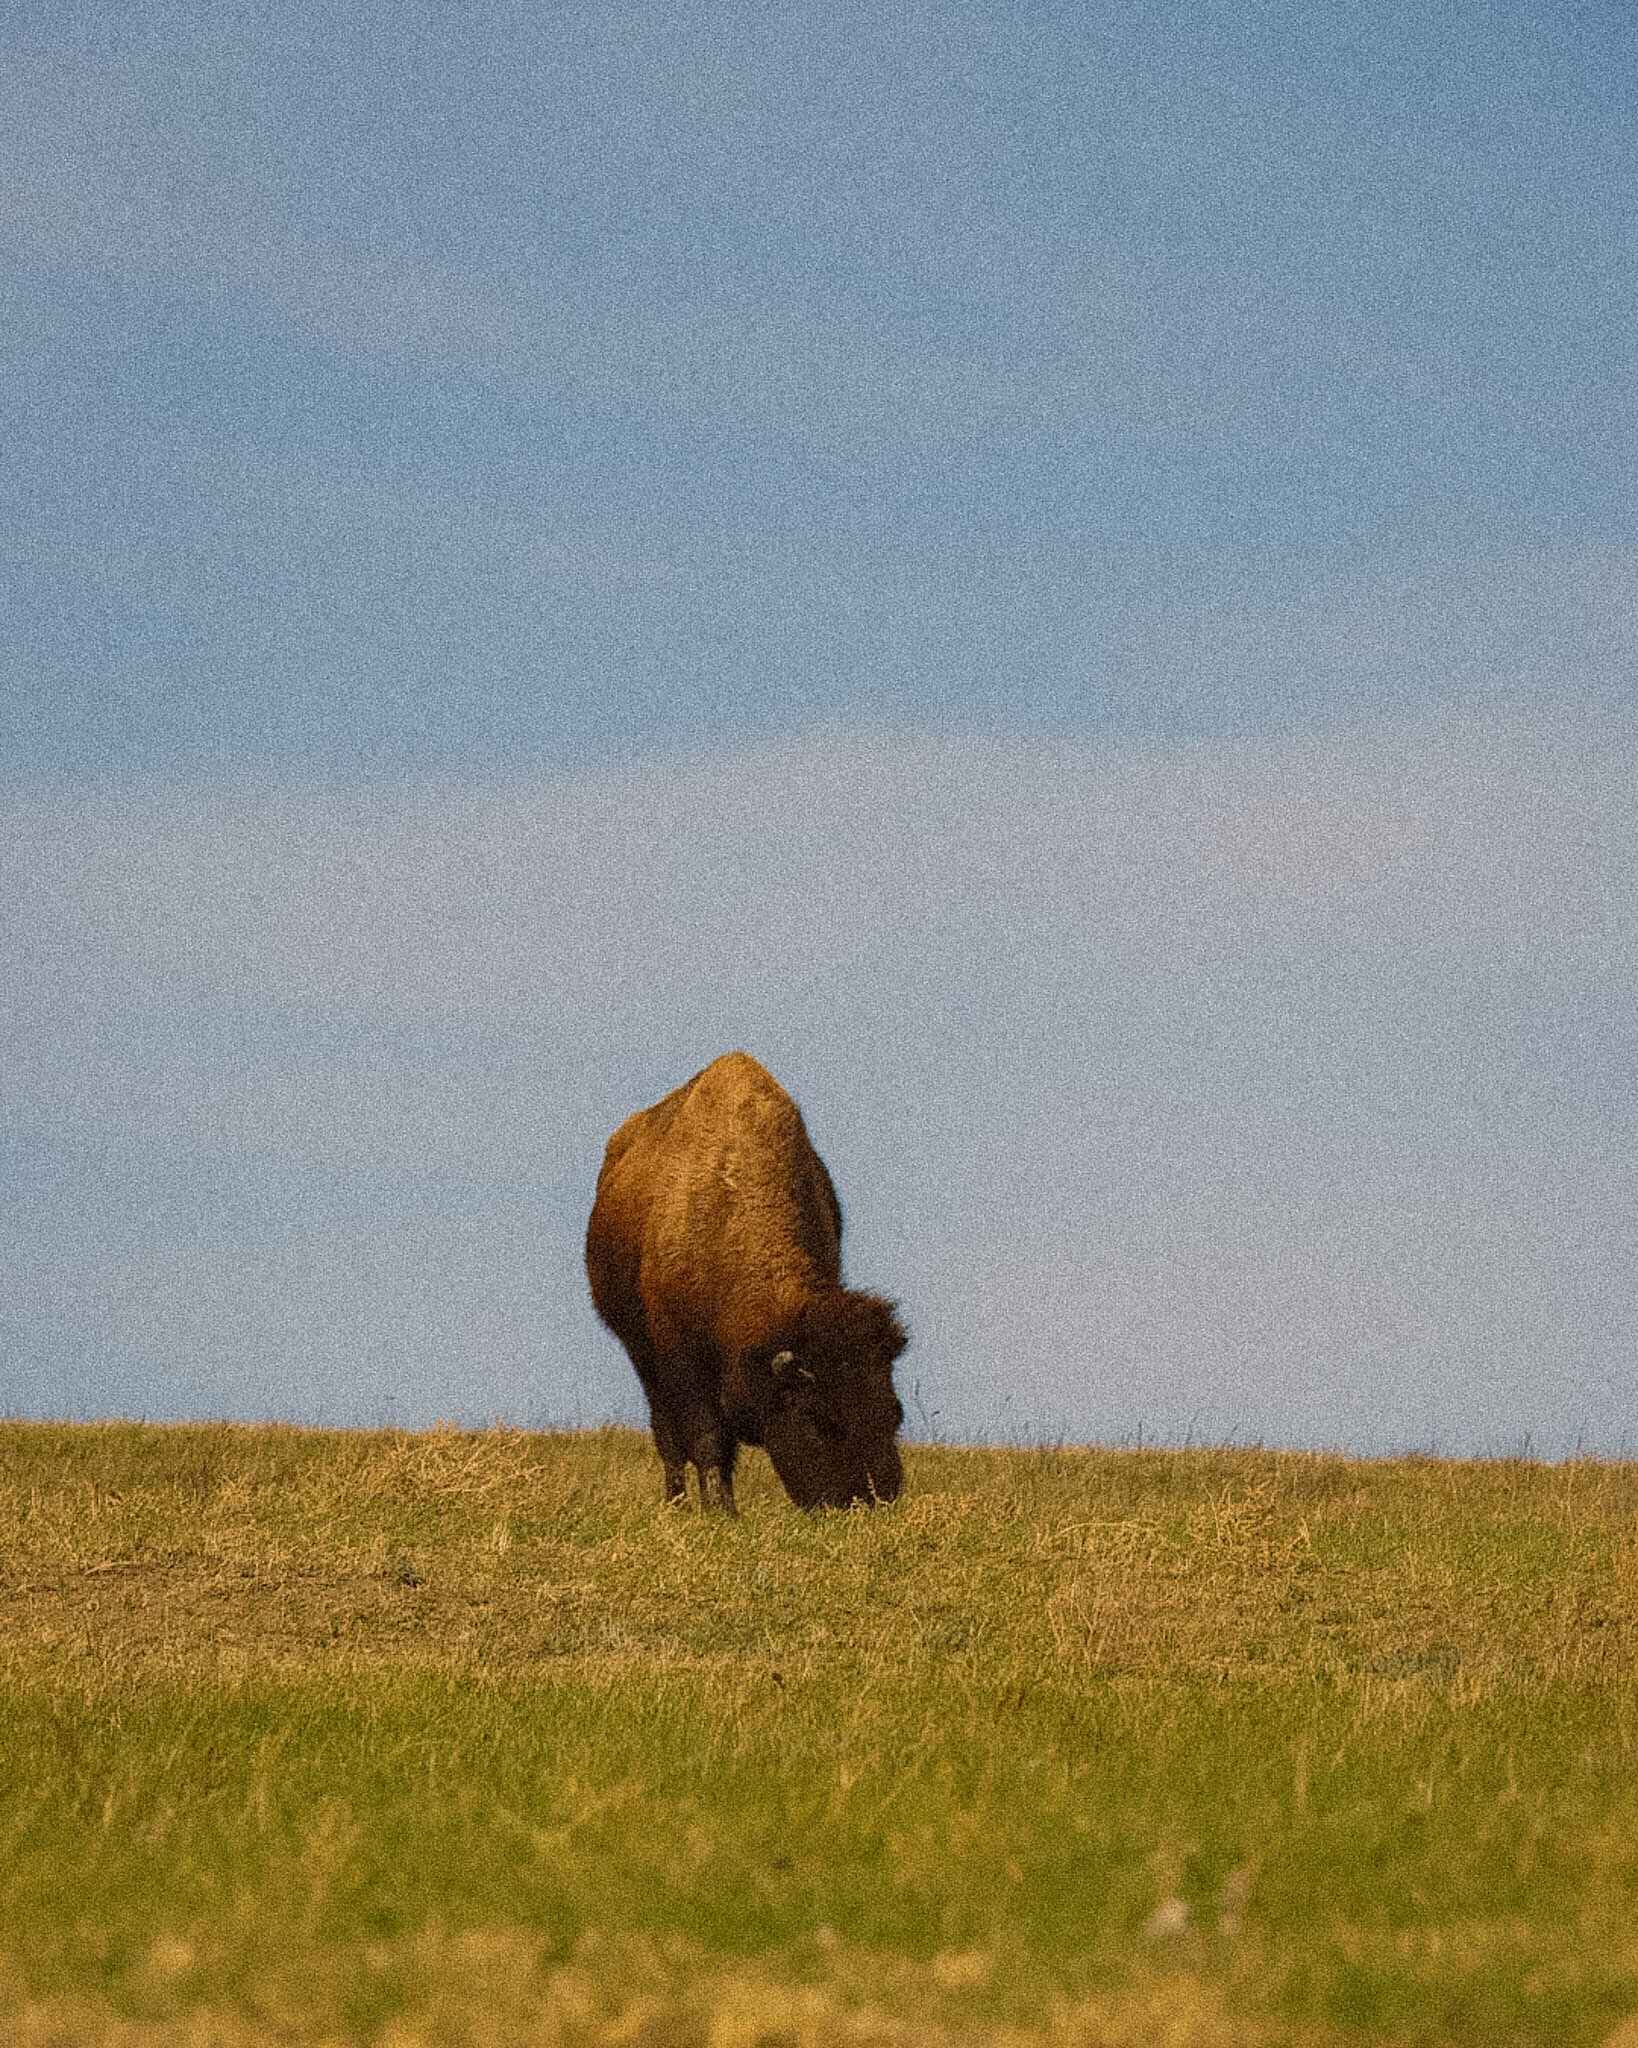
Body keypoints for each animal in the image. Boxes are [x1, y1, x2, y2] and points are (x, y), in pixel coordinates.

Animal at [585, 1051, 908, 1512]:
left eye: (895, 1412)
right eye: (819, 1419)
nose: (876, 1500)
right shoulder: (681, 1360)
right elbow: (706, 1438)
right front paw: (721, 1510)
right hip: (640, 1352)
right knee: (667, 1436)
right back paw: (677, 1503)